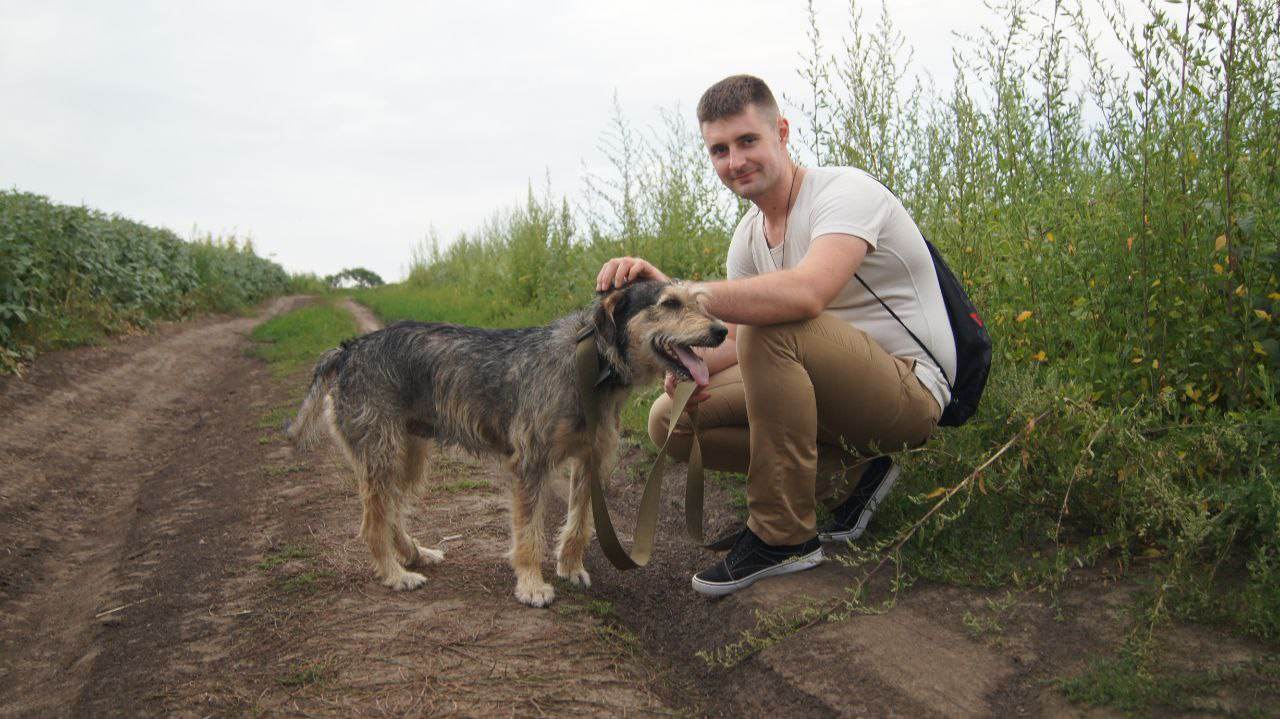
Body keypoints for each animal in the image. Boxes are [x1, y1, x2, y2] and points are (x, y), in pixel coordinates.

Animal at [293, 280, 732, 603]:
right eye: (669, 303)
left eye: (697, 301)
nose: (722, 330)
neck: (593, 365)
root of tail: (347, 351)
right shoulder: (530, 464)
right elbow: (529, 532)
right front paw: (532, 585)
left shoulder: (591, 460)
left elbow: (579, 522)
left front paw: (570, 568)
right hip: (382, 454)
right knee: (372, 522)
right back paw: (395, 574)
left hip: (409, 454)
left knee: (391, 512)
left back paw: (414, 554)